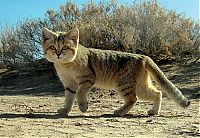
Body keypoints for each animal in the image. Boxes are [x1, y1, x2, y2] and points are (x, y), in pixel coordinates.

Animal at [41, 27, 191, 116]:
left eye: (65, 47)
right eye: (53, 47)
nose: (58, 54)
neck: (65, 65)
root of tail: (143, 56)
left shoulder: (87, 79)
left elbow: (79, 93)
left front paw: (83, 107)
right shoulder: (69, 84)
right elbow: (68, 98)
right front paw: (65, 110)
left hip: (123, 84)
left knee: (133, 99)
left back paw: (120, 111)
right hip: (140, 87)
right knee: (158, 93)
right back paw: (154, 111)